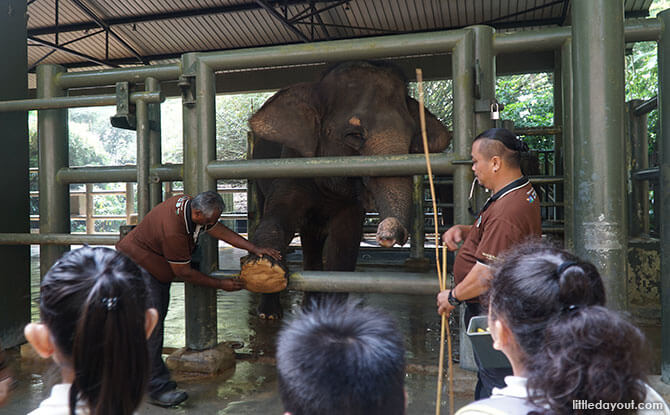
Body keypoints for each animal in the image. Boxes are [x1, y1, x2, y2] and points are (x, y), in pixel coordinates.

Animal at [242, 61, 452, 318]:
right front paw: (263, 267)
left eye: (413, 138)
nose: (386, 236)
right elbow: (281, 214)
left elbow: (344, 244)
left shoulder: (351, 203)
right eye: (354, 135)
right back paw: (272, 314)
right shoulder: (291, 161)